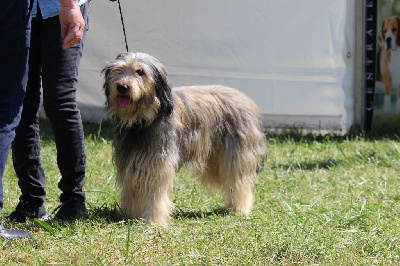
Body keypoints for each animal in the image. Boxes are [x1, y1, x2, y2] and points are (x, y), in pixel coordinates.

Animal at [102, 52, 266, 227]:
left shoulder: (158, 165)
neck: (142, 121)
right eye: (119, 69)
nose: (122, 87)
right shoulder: (131, 162)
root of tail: (247, 100)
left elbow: (155, 195)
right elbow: (130, 190)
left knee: (239, 182)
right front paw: (128, 214)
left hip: (236, 156)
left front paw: (154, 221)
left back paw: (240, 209)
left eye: (140, 72)